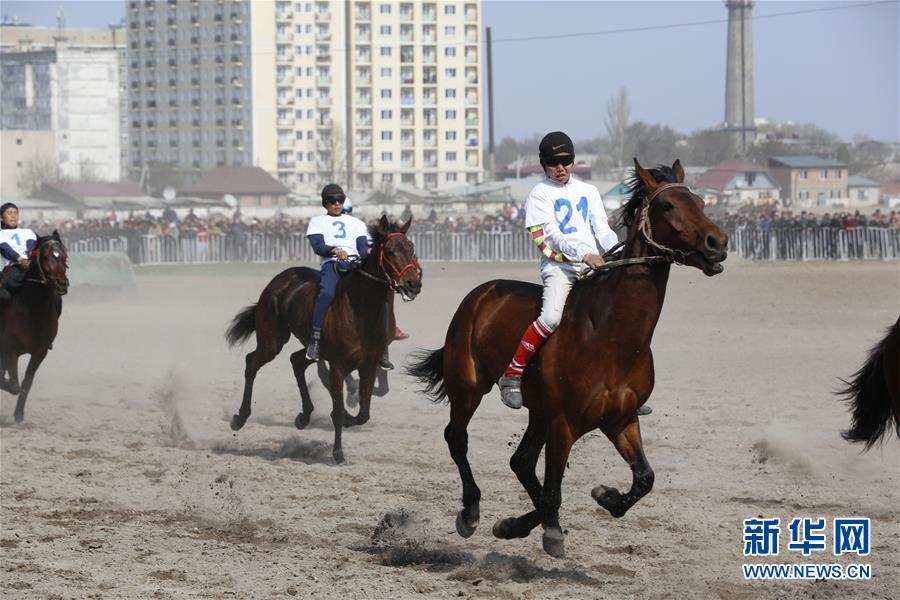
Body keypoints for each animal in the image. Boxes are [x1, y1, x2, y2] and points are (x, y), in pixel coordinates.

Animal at [0, 230, 70, 422]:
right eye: (45, 257)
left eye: (64, 255)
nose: (62, 284)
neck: (31, 311)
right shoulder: (11, 350)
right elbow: (14, 385)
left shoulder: (40, 352)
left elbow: (26, 383)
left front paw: (19, 414)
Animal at [225, 216, 422, 464]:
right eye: (389, 251)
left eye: (412, 249)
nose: (414, 284)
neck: (360, 309)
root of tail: (280, 279)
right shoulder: (338, 365)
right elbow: (337, 408)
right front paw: (338, 452)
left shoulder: (368, 364)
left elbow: (363, 413)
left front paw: (348, 415)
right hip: (272, 340)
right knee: (252, 362)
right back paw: (240, 417)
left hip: (311, 348)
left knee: (296, 361)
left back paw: (304, 416)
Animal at [412, 159, 728, 556]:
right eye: (668, 206)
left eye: (700, 201)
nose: (718, 243)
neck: (613, 338)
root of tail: (480, 294)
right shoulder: (564, 424)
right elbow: (553, 491)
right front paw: (546, 530)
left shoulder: (620, 419)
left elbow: (643, 479)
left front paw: (603, 496)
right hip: (469, 387)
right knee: (458, 438)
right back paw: (470, 512)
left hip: (537, 411)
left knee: (521, 461)